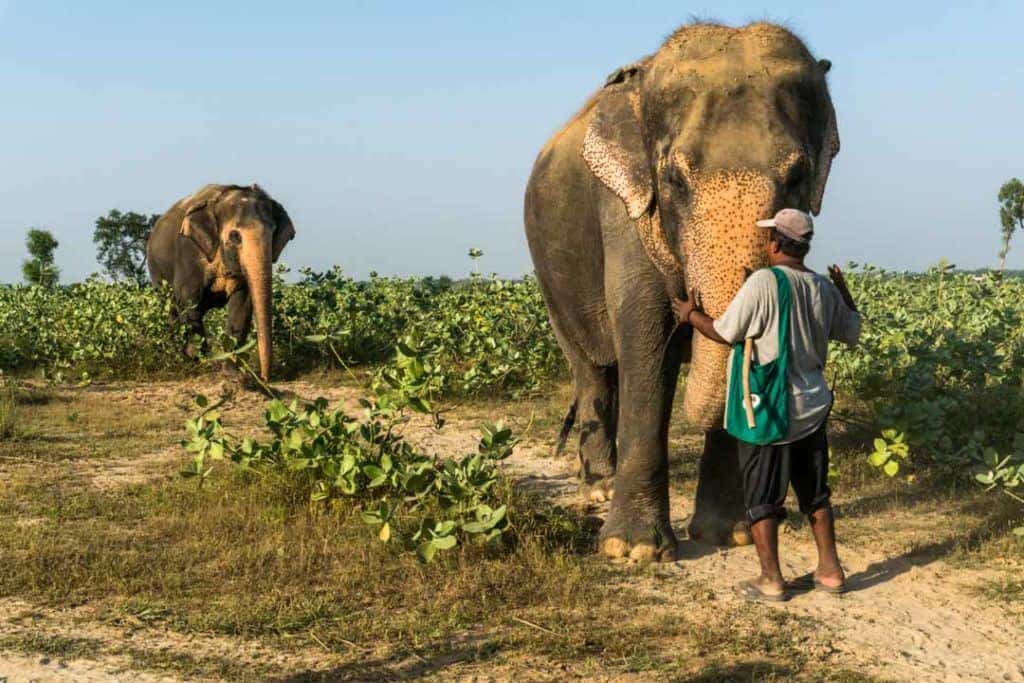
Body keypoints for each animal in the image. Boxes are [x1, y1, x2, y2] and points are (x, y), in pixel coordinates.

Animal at [146, 184, 296, 382]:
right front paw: (205, 364)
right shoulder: (188, 254)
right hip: (156, 268)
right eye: (235, 236)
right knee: (172, 310)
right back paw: (179, 359)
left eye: (272, 233)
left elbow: (242, 306)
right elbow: (188, 302)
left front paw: (231, 372)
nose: (264, 378)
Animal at [524, 24, 843, 565]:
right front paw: (631, 550)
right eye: (673, 179)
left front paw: (728, 534)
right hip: (550, 271)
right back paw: (599, 489)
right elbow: (645, 339)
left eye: (797, 177)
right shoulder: (625, 212)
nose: (691, 305)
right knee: (592, 369)